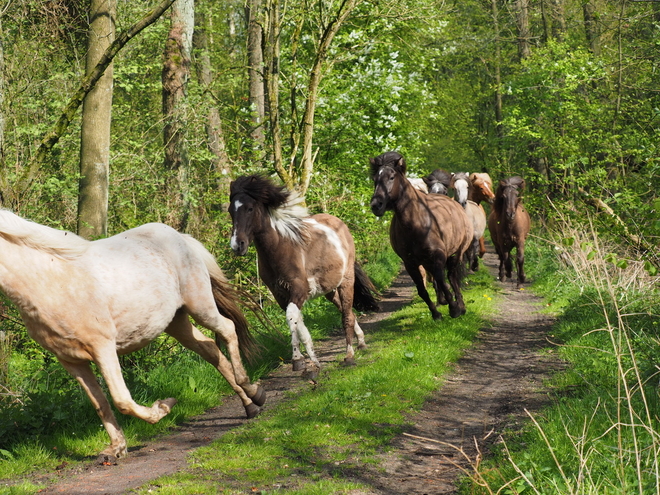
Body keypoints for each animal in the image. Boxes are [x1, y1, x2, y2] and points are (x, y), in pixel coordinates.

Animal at [0, 211, 266, 464]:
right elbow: (100, 404)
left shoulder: (103, 348)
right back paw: (250, 406)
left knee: (228, 330)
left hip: (201, 307)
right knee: (211, 349)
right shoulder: (71, 361)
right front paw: (116, 449)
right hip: (176, 322)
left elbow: (121, 400)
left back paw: (253, 391)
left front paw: (163, 407)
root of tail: (180, 237)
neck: (52, 283)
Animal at [228, 176, 378, 382]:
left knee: (346, 316)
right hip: (329, 290)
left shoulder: (299, 290)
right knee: (346, 310)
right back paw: (361, 342)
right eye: (230, 210)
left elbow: (292, 317)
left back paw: (349, 356)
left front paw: (298, 360)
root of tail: (338, 223)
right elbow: (298, 322)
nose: (237, 245)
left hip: (346, 282)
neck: (280, 248)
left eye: (250, 208)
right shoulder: (281, 295)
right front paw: (313, 362)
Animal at [368, 152, 472, 322]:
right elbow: (422, 290)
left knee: (452, 277)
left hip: (456, 253)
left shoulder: (438, 256)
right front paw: (436, 314)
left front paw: (454, 309)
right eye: (375, 179)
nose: (376, 205)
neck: (416, 223)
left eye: (391, 177)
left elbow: (442, 281)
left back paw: (461, 306)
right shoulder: (410, 263)